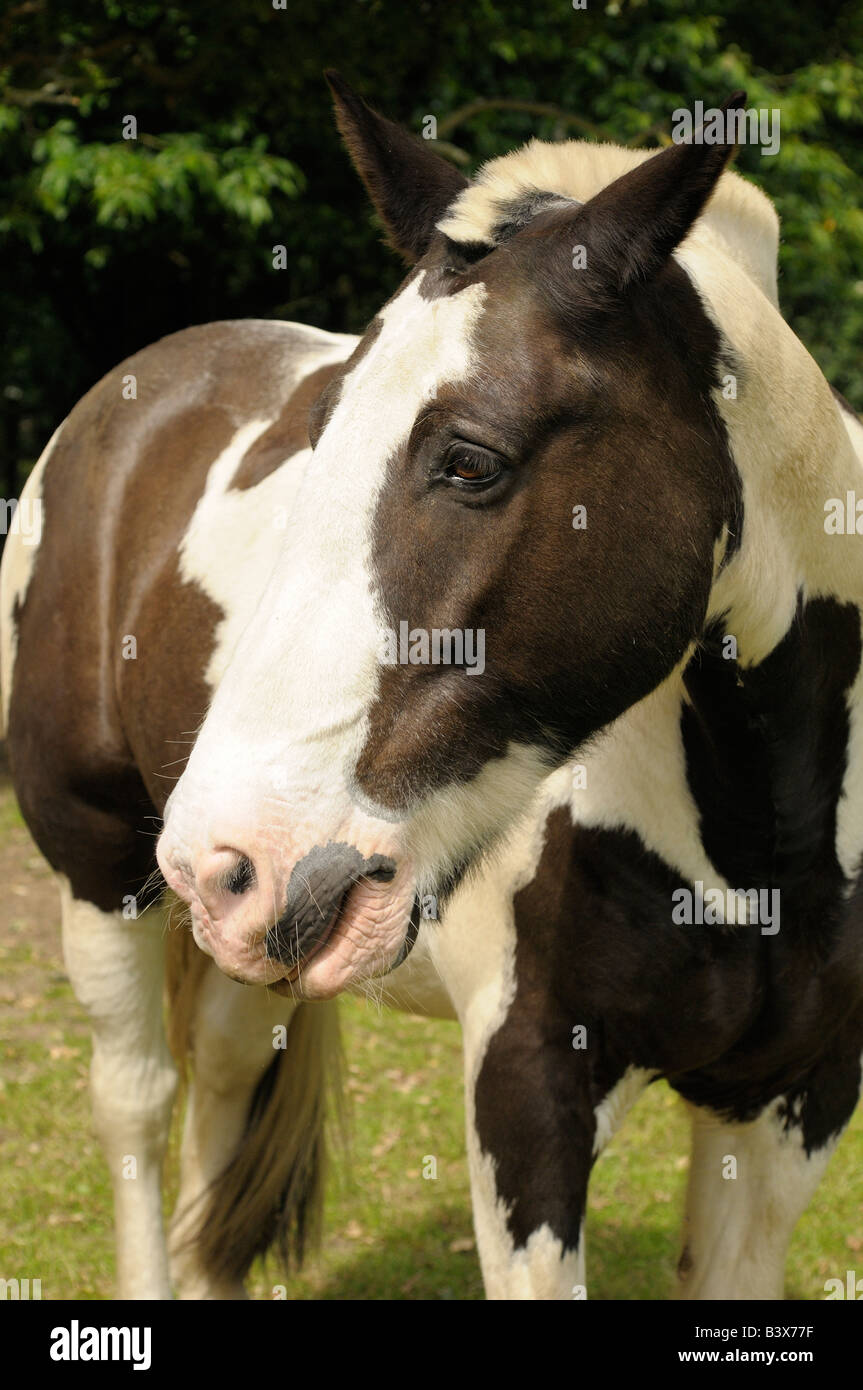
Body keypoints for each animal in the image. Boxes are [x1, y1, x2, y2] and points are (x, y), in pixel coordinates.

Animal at [3, 72, 862, 1301]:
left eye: (469, 461)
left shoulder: (793, 1105)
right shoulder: (524, 1099)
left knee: (222, 1079)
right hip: (101, 874)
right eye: (317, 437)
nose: (230, 848)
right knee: (137, 1104)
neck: (756, 841)